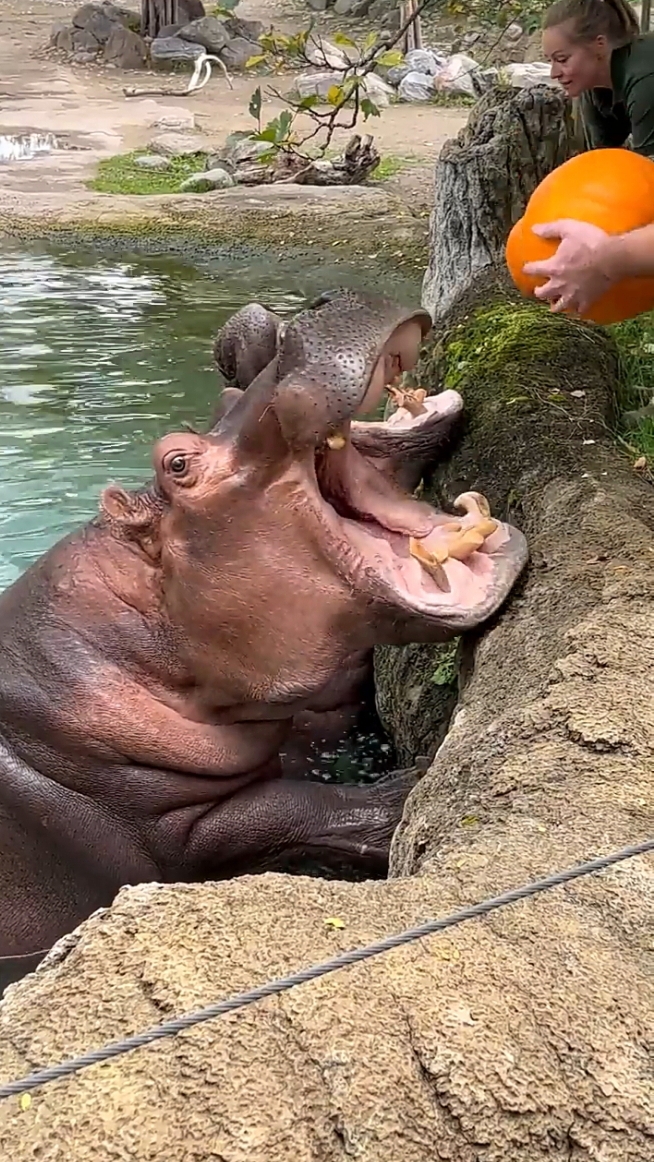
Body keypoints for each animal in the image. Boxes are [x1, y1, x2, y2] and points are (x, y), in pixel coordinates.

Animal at [0, 290, 527, 990]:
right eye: (178, 463)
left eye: (226, 401)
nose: (271, 324)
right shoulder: (174, 828)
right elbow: (292, 806)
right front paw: (411, 790)